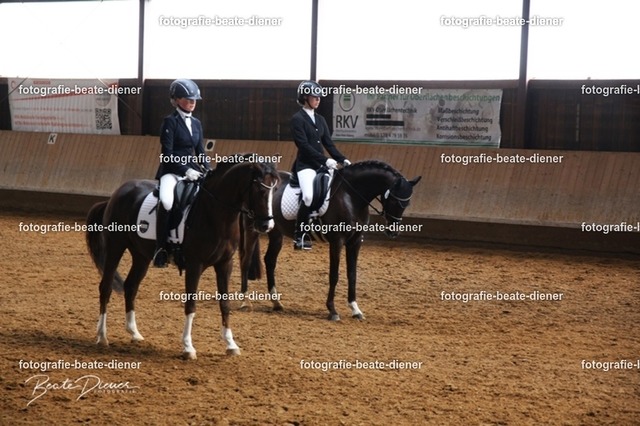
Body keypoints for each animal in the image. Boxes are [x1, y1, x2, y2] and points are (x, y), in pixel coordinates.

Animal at [85, 160, 279, 359]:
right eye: (260, 190)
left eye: (275, 189)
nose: (266, 225)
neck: (215, 213)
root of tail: (116, 194)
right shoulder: (195, 264)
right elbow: (191, 304)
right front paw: (188, 347)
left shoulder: (225, 264)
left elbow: (224, 304)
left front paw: (231, 345)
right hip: (115, 247)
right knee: (106, 287)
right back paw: (102, 336)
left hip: (141, 256)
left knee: (131, 287)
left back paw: (134, 333)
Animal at [239, 160, 421, 321]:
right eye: (394, 199)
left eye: (407, 203)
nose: (393, 232)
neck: (350, 196)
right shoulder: (337, 241)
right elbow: (334, 275)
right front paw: (332, 310)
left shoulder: (355, 242)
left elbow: (352, 274)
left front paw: (355, 309)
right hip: (253, 228)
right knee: (246, 261)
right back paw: (245, 301)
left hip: (276, 233)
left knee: (270, 260)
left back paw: (276, 302)